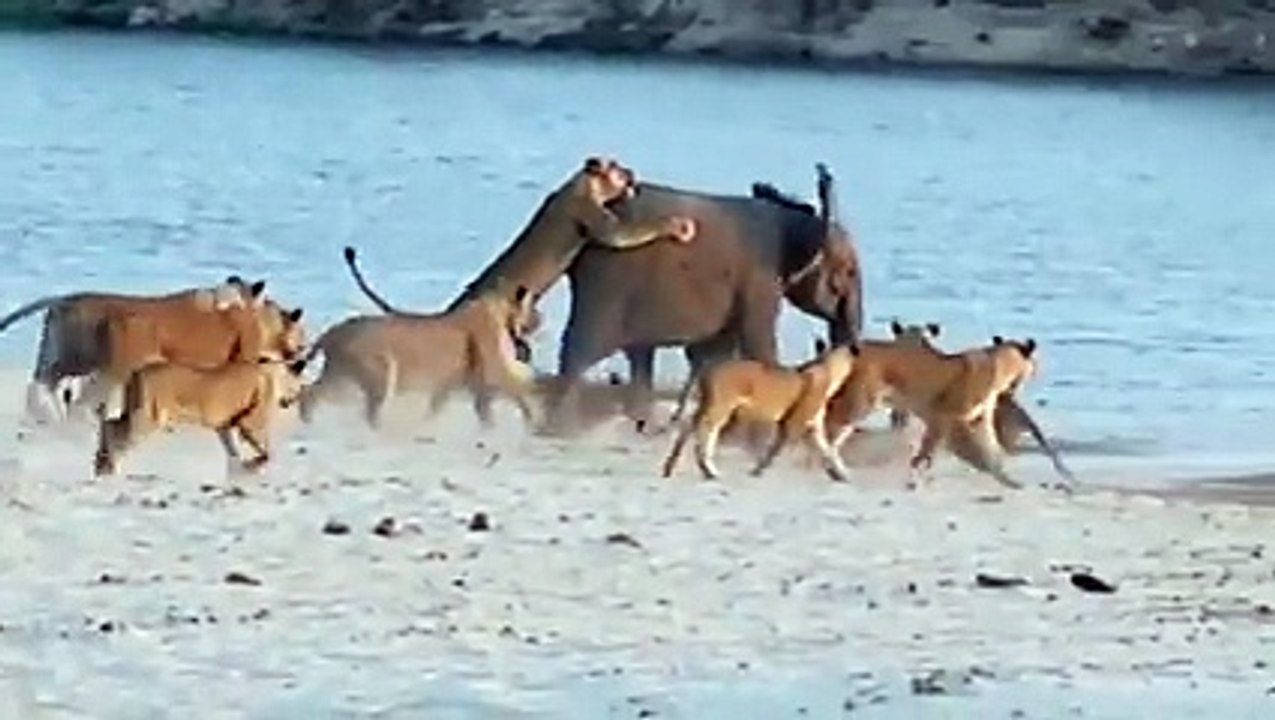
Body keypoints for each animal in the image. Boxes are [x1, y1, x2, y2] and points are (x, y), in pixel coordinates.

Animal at [93, 356, 309, 478]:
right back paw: (110, 469)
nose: (291, 401)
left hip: (138, 414)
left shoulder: (226, 426)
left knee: (109, 422)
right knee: (115, 433)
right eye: (300, 385)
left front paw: (240, 472)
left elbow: (234, 452)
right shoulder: (251, 422)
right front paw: (252, 466)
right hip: (148, 418)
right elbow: (267, 453)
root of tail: (136, 373)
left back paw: (101, 463)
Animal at [298, 256, 540, 428]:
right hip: (375, 376)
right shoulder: (494, 370)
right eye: (532, 304)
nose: (539, 319)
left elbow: (444, 408)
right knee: (365, 411)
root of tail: (333, 331)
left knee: (309, 392)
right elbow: (517, 392)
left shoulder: (455, 382)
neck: (498, 308)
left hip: (341, 376)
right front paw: (531, 420)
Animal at [661, 340, 860, 482]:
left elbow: (827, 448)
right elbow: (776, 448)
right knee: (706, 429)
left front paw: (839, 474)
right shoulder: (793, 422)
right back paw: (708, 469)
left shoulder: (814, 425)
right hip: (720, 405)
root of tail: (709, 369)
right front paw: (757, 470)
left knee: (688, 426)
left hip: (707, 403)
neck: (828, 369)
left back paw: (672, 467)